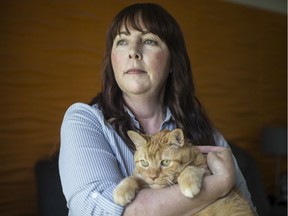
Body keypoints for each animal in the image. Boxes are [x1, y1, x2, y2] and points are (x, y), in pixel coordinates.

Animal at [113, 129, 255, 215]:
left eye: (165, 162)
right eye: (144, 163)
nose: (153, 177)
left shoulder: (207, 170)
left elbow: (189, 168)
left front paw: (188, 184)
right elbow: (134, 177)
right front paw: (122, 191)